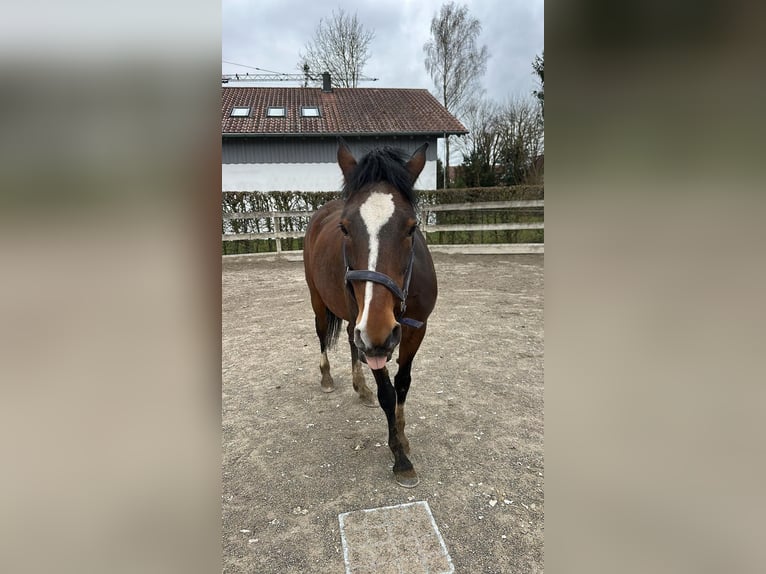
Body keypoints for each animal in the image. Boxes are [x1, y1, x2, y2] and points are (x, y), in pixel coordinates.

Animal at [302, 141, 438, 488]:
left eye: (412, 228)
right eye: (345, 229)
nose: (378, 332)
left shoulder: (416, 329)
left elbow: (402, 383)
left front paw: (402, 437)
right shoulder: (373, 338)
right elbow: (387, 393)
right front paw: (400, 458)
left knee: (353, 343)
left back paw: (360, 387)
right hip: (321, 303)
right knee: (323, 335)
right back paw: (327, 378)